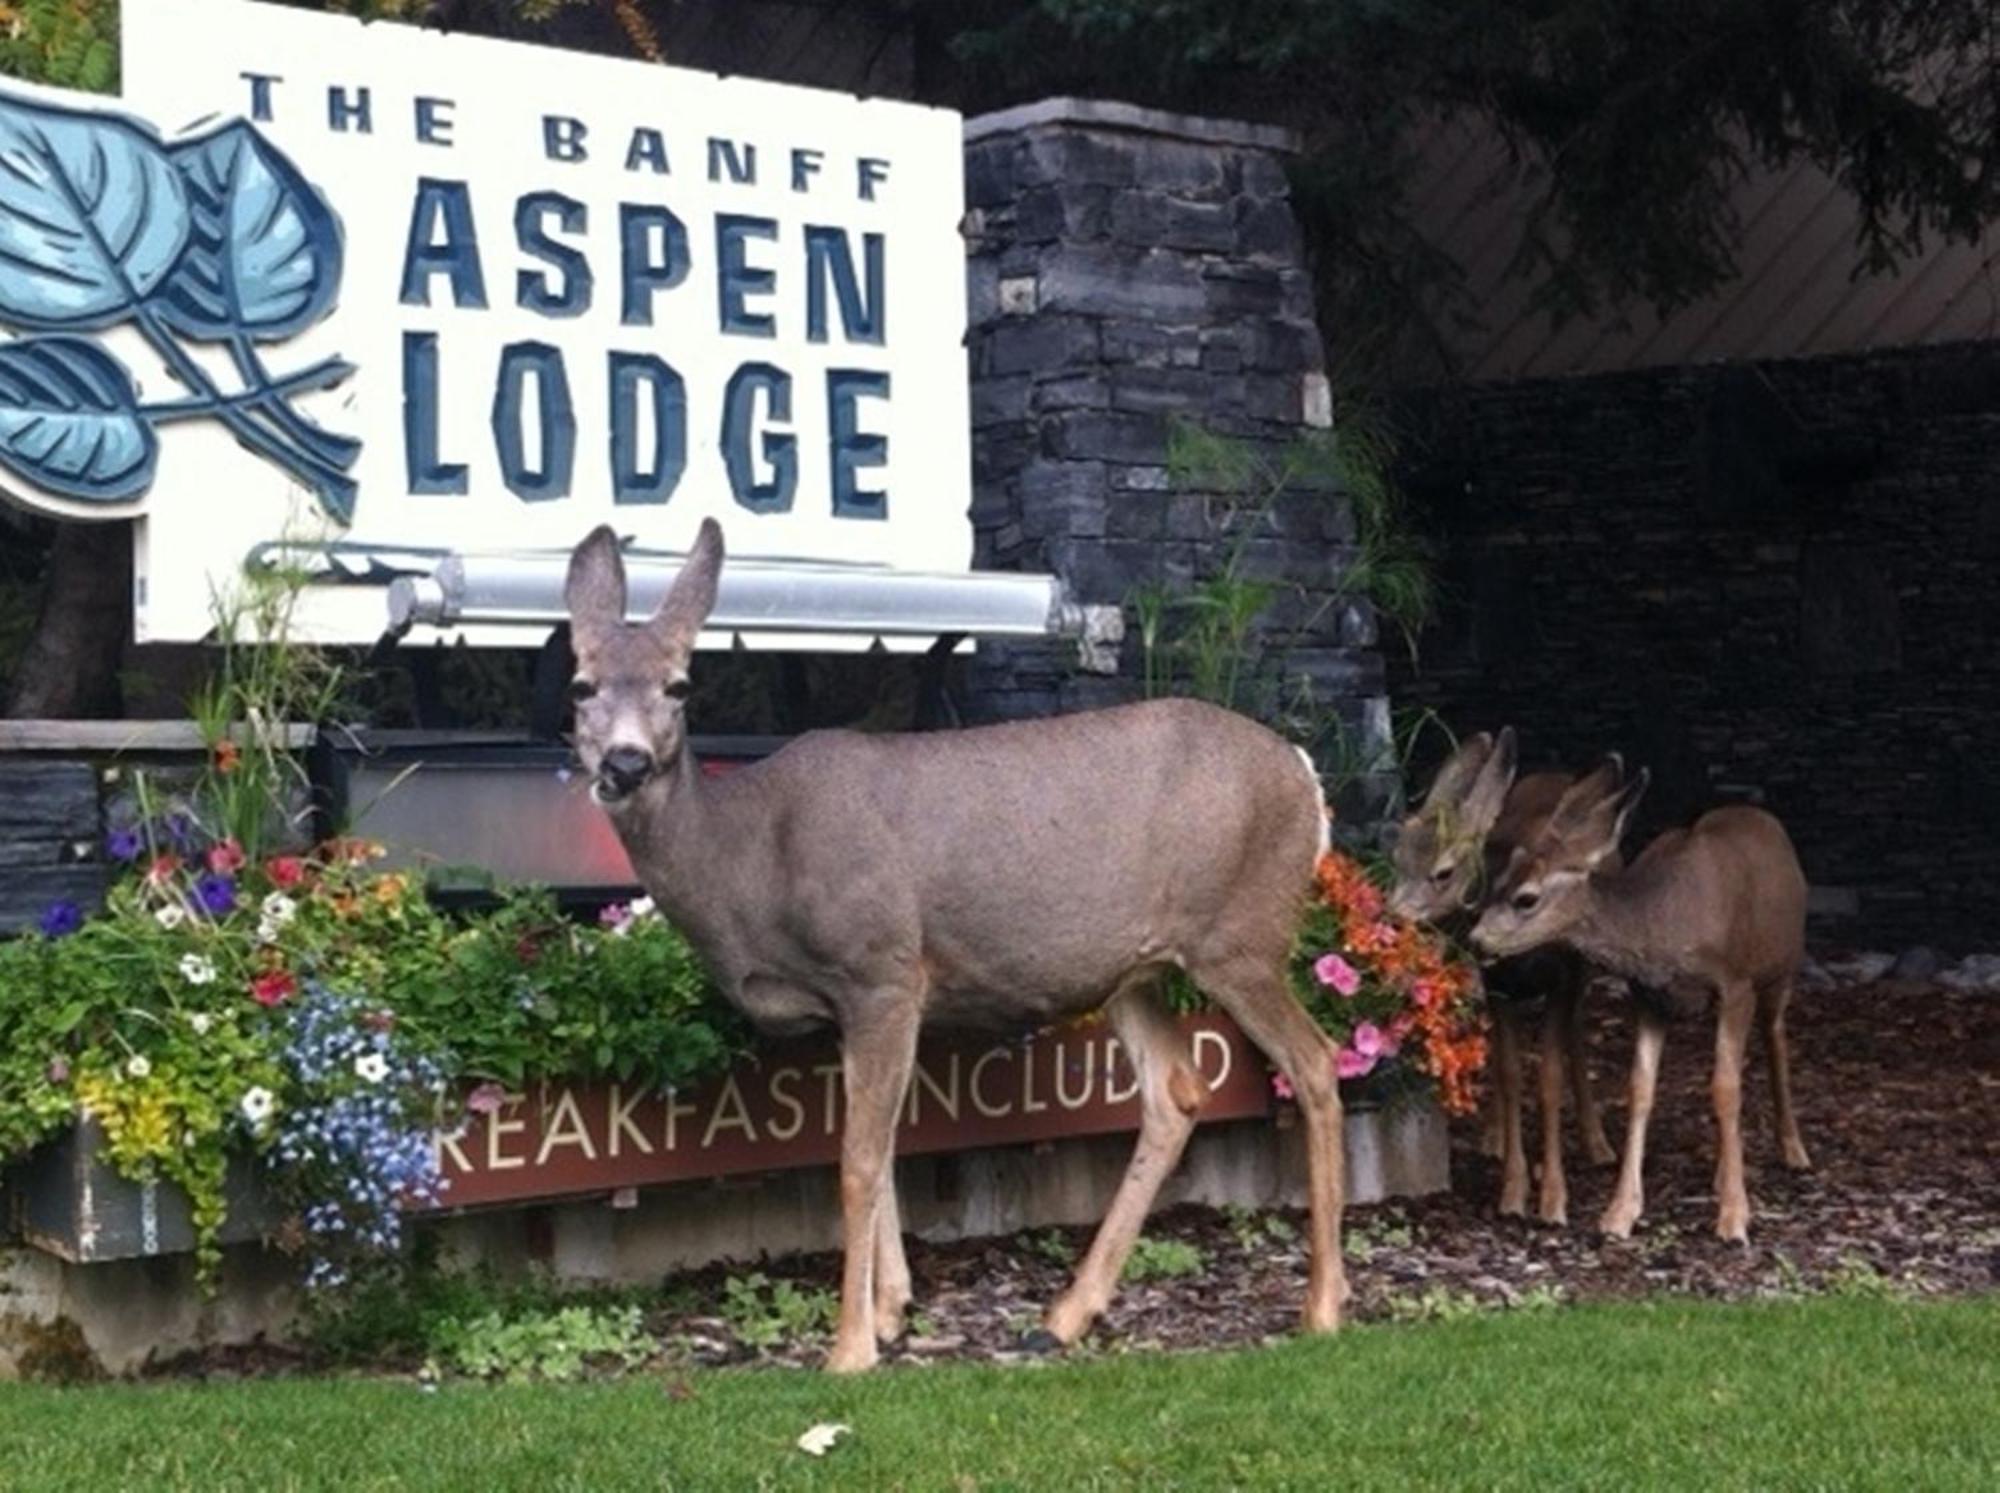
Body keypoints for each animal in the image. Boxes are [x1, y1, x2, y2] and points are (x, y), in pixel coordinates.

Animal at [564, 516, 1344, 1368]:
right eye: (582, 685)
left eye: (678, 685)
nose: (626, 762)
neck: (748, 860)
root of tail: (1307, 775)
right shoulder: (853, 1002)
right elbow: (881, 1150)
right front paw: (890, 1309)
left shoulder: (881, 965)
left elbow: (857, 1160)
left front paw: (849, 1348)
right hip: (1132, 969)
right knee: (1176, 1089)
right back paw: (1065, 1313)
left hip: (1240, 934)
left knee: (1315, 1064)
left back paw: (1324, 1307)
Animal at [1392, 728, 1624, 1224]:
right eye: (1398, 857)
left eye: (1443, 872)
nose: (1395, 914)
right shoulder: (1497, 985)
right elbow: (1512, 1072)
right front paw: (1513, 1191)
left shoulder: (1562, 979)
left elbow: (1549, 1078)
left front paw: (1553, 1198)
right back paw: (1493, 1139)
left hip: (1585, 975)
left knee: (1577, 1037)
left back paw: (1597, 1144)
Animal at [1472, 760, 1816, 1240]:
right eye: (1497, 880)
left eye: (1526, 898)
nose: (1476, 939)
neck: (1664, 924)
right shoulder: (1649, 997)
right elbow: (1639, 1088)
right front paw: (1619, 1212)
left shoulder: (1736, 983)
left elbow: (1726, 1088)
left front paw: (1733, 1215)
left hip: (1783, 966)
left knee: (1776, 1038)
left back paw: (1793, 1150)